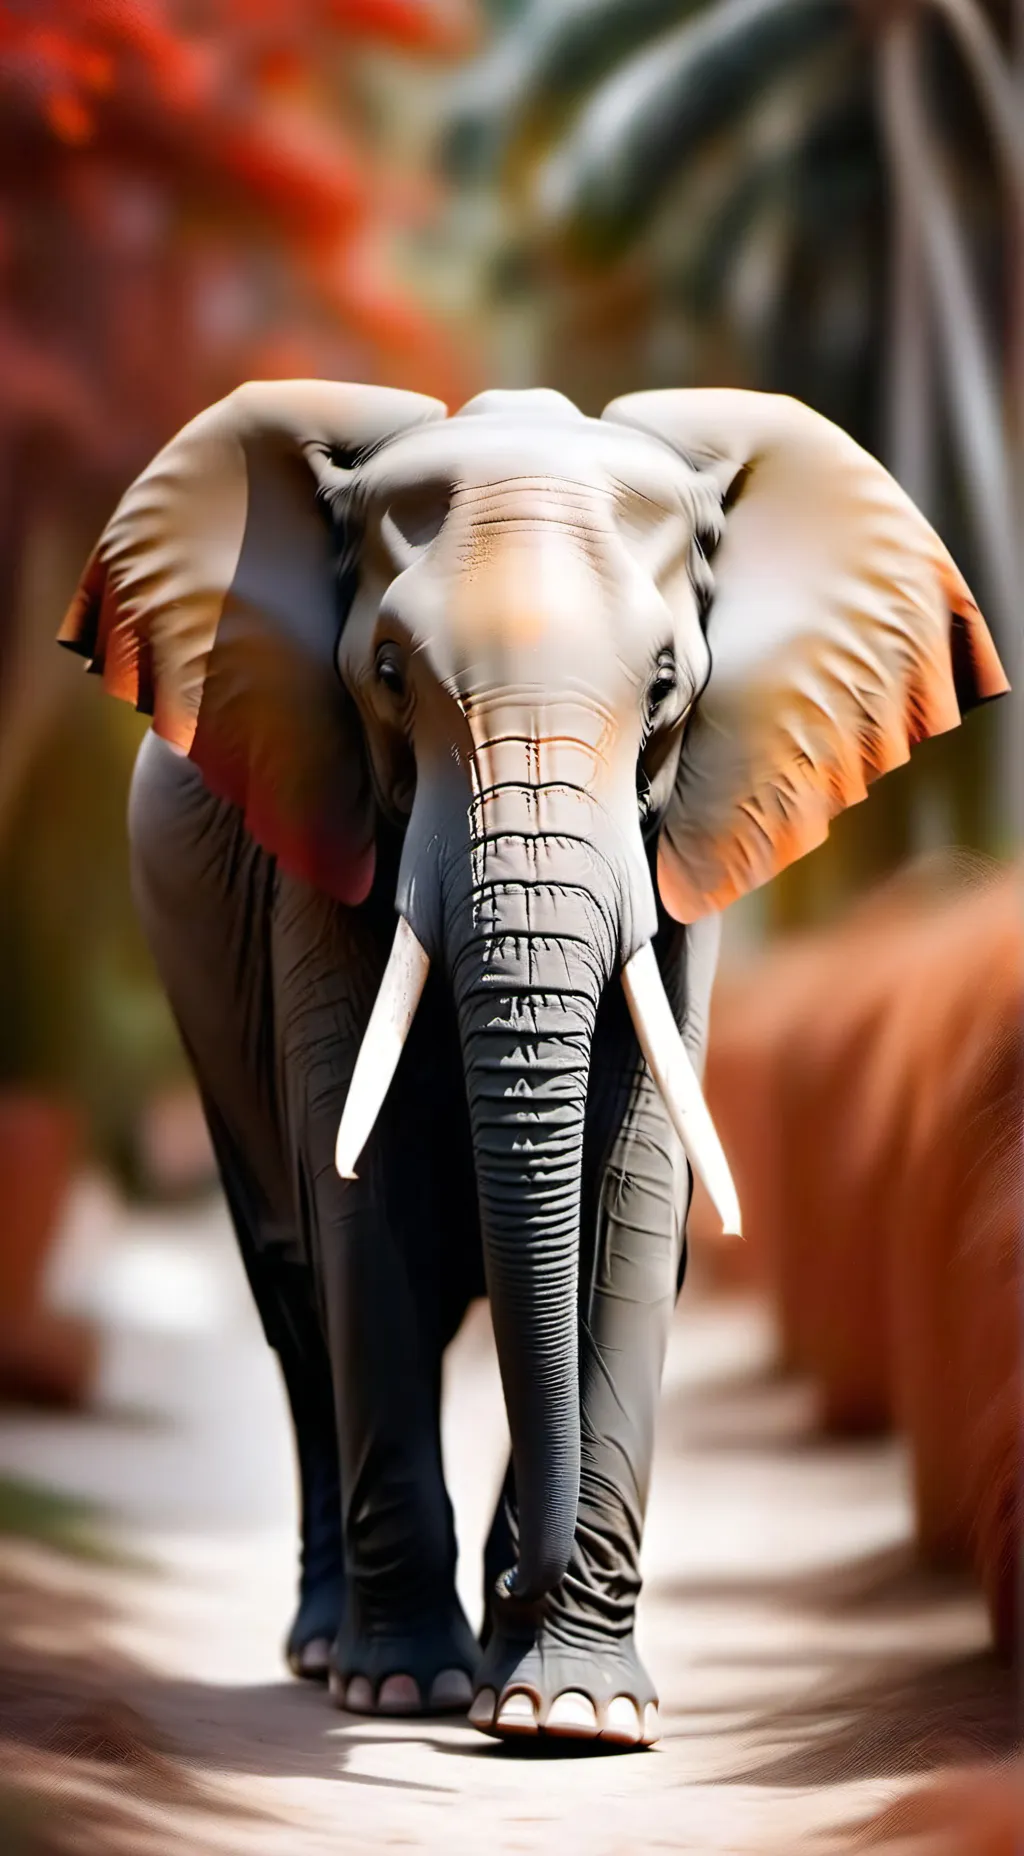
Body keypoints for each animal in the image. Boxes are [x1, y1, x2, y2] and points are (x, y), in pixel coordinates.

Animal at [60, 381, 1007, 1748]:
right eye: (387, 677)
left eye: (664, 685)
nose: (513, 1575)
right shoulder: (319, 839)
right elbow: (362, 1196)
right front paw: (404, 1689)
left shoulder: (678, 863)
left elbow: (630, 1197)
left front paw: (566, 1713)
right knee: (293, 1297)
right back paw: (326, 1649)